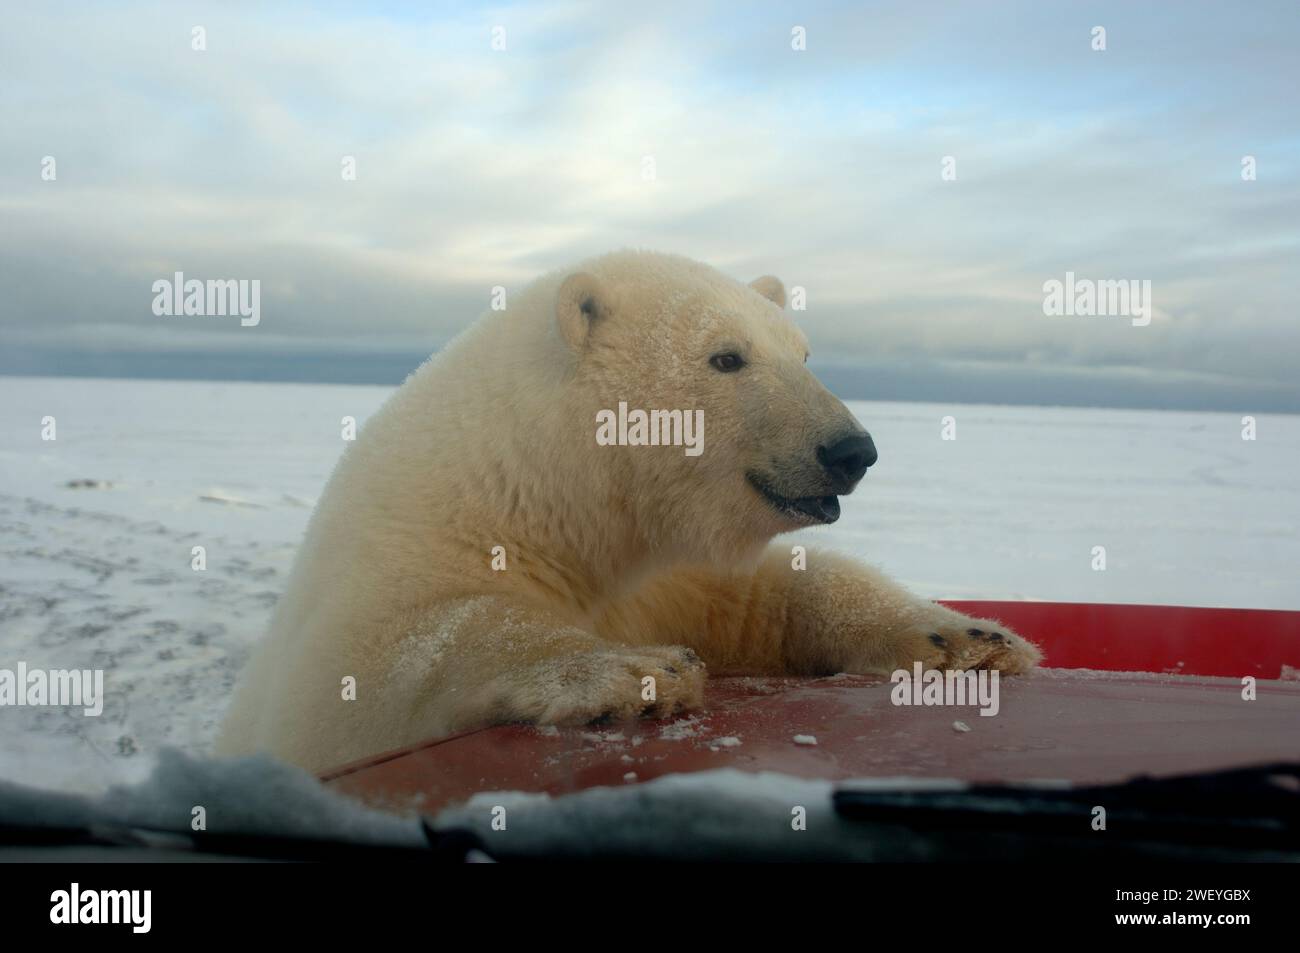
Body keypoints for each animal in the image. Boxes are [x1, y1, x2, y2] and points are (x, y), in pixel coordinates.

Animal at [218, 249, 1040, 769]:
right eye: (726, 357)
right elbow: (381, 661)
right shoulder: (410, 551)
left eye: (804, 354)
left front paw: (967, 636)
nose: (850, 450)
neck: (554, 497)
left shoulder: (667, 567)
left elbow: (770, 596)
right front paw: (640, 671)